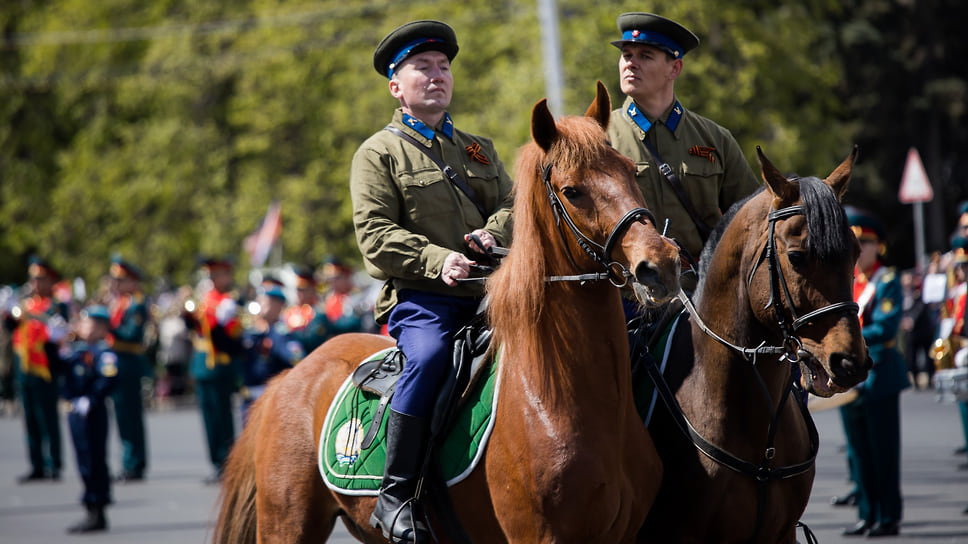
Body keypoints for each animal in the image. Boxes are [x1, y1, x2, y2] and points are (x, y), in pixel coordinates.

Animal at [214, 82, 680, 544]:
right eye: (572, 191)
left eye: (629, 170)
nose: (660, 264)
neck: (560, 398)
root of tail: (289, 377)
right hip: (288, 525)